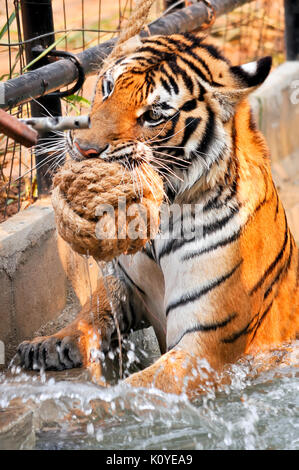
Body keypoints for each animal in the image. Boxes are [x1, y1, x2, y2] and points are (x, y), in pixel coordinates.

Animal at [17, 31, 299, 394]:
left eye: (153, 115)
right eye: (107, 87)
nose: (82, 148)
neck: (165, 214)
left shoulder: (204, 348)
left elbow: (137, 389)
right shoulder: (124, 281)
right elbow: (93, 309)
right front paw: (49, 343)